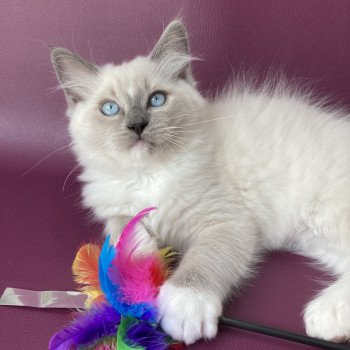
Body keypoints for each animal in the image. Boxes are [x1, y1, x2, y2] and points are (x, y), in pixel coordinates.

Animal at [50, 19, 350, 344]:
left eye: (156, 99)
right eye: (110, 108)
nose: (137, 125)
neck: (150, 173)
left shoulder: (226, 221)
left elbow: (201, 262)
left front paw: (183, 306)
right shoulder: (116, 207)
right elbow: (122, 229)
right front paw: (140, 265)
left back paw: (323, 315)